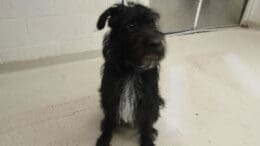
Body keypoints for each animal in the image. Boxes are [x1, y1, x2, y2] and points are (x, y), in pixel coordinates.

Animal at [96, 2, 166, 146]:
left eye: (152, 24)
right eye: (131, 26)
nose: (157, 43)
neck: (131, 70)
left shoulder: (148, 99)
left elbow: (146, 124)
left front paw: (147, 141)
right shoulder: (110, 96)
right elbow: (109, 120)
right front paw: (104, 138)